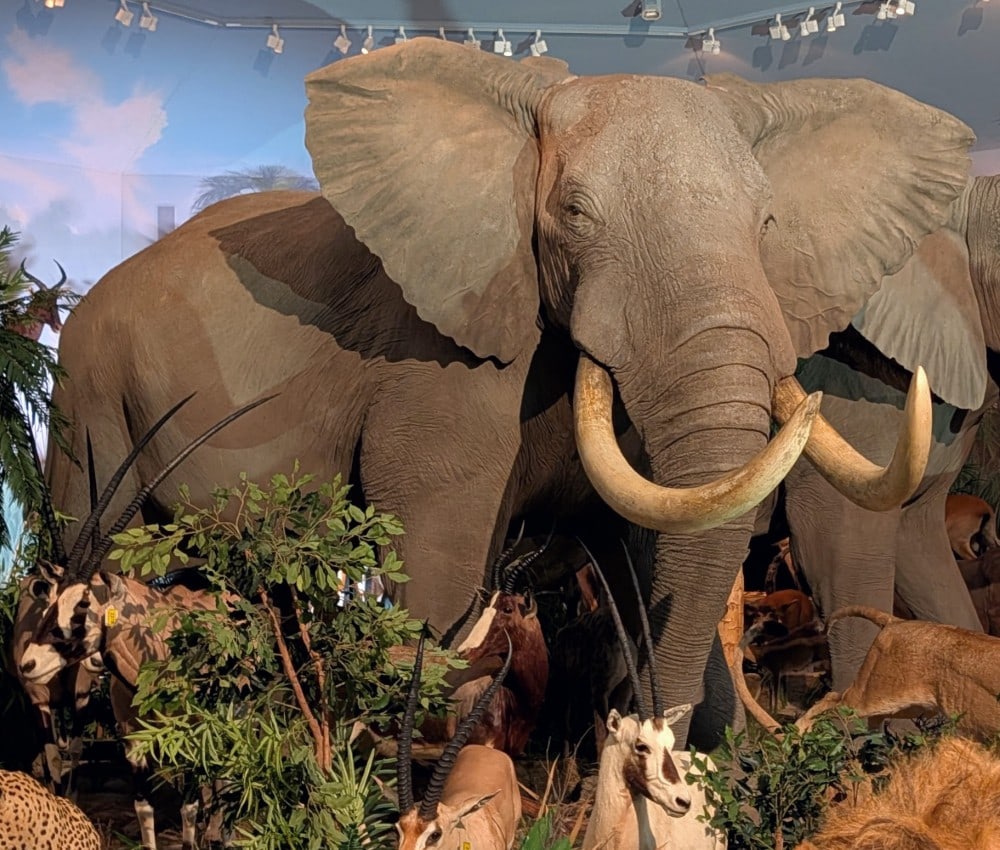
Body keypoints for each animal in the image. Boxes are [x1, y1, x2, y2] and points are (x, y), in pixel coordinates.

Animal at [35, 39, 973, 748]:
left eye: (768, 223)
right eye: (574, 212)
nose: (647, 738)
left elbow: (651, 543)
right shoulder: (439, 366)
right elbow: (442, 557)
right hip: (87, 396)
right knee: (86, 544)